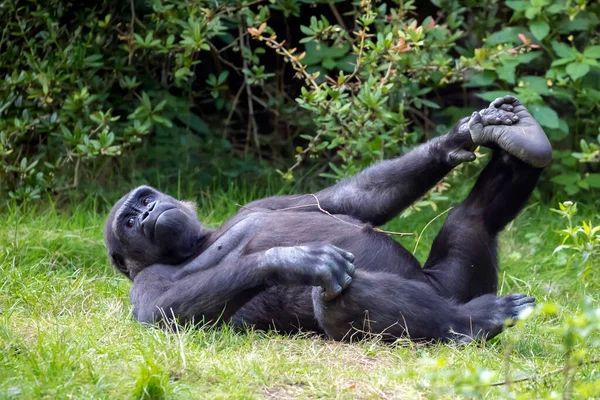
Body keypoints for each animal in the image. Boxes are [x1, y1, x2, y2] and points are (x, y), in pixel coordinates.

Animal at [105, 95, 552, 342]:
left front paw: (461, 135)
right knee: (336, 296)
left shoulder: (261, 203)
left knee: (471, 219)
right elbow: (161, 311)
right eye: (129, 222)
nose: (148, 212)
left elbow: (348, 200)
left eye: (144, 199)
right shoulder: (145, 283)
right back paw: (473, 321)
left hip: (457, 281)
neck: (198, 240)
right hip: (447, 297)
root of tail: (451, 296)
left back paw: (527, 143)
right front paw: (293, 261)